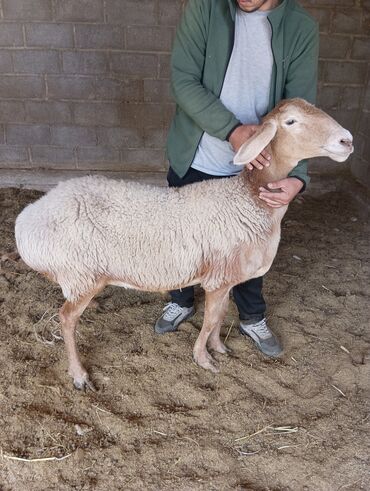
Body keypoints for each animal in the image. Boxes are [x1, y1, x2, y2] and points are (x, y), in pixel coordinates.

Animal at [15, 99, 354, 392]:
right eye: (291, 121)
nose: (347, 141)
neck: (248, 198)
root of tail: (26, 221)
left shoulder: (226, 278)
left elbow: (220, 315)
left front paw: (220, 348)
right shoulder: (217, 278)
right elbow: (209, 320)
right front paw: (204, 359)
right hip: (81, 274)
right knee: (66, 319)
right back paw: (79, 375)